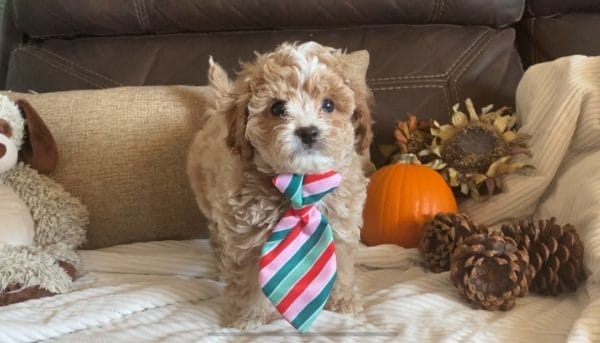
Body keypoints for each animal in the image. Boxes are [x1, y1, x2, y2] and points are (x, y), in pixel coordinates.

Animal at [188, 41, 372, 330]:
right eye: (277, 108)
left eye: (329, 104)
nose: (308, 131)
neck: (301, 182)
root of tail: (218, 109)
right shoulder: (246, 233)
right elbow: (247, 279)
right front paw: (248, 317)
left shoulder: (340, 224)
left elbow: (340, 265)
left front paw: (343, 302)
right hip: (211, 205)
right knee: (217, 237)